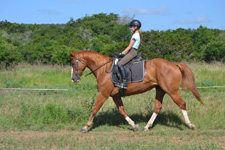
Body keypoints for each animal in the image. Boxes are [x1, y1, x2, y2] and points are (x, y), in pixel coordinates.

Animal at [69, 51, 204, 133]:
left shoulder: (103, 94)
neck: (103, 69)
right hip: (160, 90)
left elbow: (94, 109)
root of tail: (174, 64)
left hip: (172, 91)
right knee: (157, 107)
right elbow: (122, 111)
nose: (73, 79)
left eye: (74, 63)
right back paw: (147, 126)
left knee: (182, 104)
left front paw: (85, 127)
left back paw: (190, 125)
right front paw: (134, 125)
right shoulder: (115, 96)